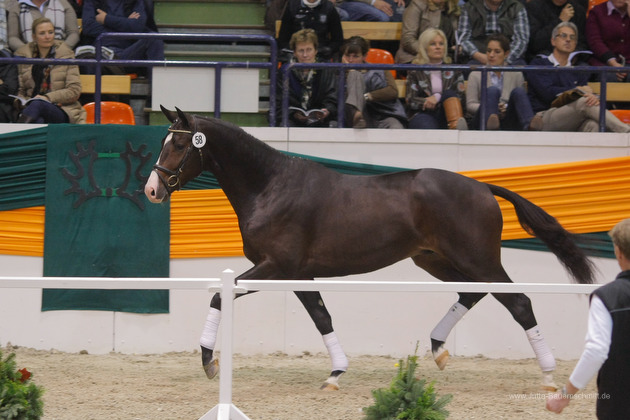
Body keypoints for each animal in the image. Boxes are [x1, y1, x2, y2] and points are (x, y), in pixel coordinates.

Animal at [146, 106, 596, 392]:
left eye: (179, 145)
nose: (152, 189)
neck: (270, 186)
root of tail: (483, 187)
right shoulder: (297, 273)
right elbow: (321, 316)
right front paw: (335, 374)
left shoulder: (276, 266)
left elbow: (220, 297)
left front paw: (209, 361)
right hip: (437, 260)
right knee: (473, 293)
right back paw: (438, 351)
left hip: (478, 258)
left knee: (518, 302)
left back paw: (549, 376)